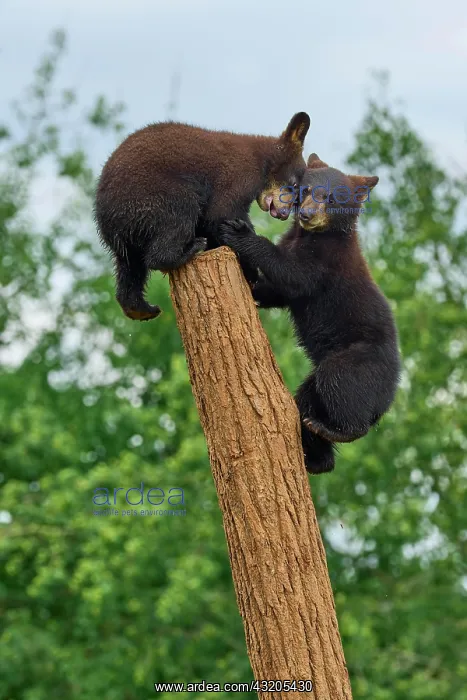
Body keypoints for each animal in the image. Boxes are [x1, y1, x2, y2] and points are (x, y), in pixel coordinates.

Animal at [94, 113, 310, 321]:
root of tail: (106, 216)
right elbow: (220, 212)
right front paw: (250, 270)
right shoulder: (240, 175)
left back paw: (141, 308)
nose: (284, 214)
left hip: (127, 235)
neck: (263, 162)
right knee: (180, 211)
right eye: (293, 185)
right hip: (151, 195)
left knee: (130, 267)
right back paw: (188, 249)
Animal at [217, 153, 401, 474]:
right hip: (317, 385)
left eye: (331, 198)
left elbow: (293, 273)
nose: (307, 214)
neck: (317, 235)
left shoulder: (326, 261)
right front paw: (254, 288)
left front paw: (240, 232)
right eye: (307, 190)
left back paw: (334, 429)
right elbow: (281, 290)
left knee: (340, 386)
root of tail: (389, 394)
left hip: (357, 362)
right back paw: (316, 456)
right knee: (308, 398)